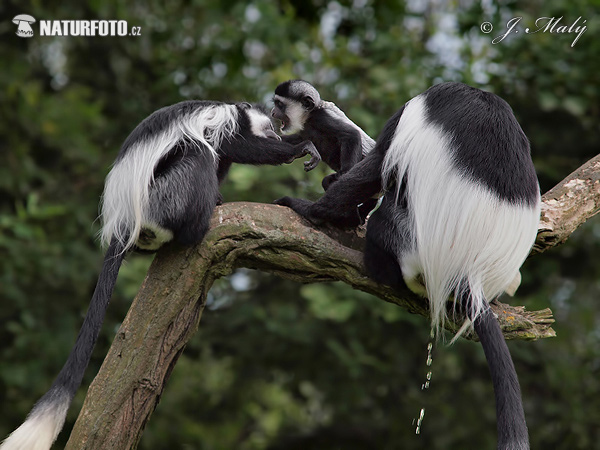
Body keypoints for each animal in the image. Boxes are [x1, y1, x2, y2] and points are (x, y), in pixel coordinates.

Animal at [270, 81, 376, 223]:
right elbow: (300, 139)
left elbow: (351, 135)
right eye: (275, 104)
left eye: (280, 104)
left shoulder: (321, 118)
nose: (272, 112)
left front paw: (344, 173)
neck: (310, 114)